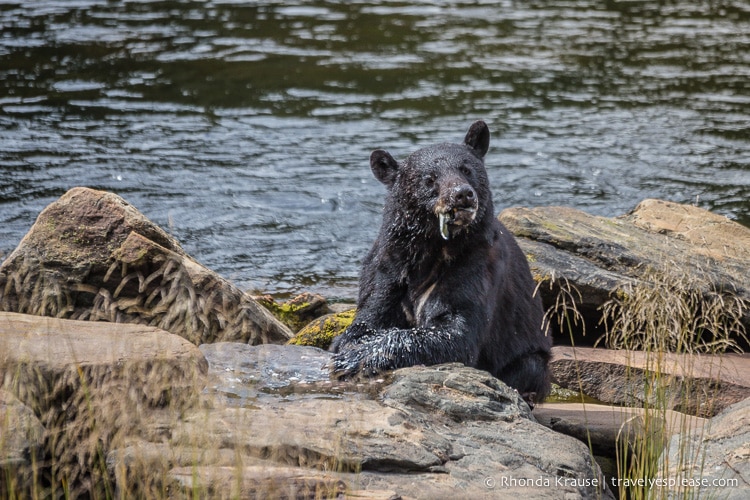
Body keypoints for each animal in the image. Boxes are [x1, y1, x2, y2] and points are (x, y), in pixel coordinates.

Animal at [332, 122, 556, 406]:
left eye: (466, 169)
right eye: (429, 178)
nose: (462, 194)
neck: (432, 249)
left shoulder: (476, 265)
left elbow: (457, 331)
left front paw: (358, 358)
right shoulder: (387, 266)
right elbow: (370, 314)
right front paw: (347, 346)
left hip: (531, 355)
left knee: (529, 368)